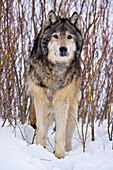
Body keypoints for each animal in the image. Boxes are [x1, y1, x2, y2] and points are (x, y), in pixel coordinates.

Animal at [26, 10, 82, 159]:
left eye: (69, 37)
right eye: (55, 36)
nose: (63, 49)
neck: (54, 70)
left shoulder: (61, 102)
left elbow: (60, 134)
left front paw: (60, 156)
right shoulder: (39, 100)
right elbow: (41, 131)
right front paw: (39, 149)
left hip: (72, 114)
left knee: (67, 136)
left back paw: (68, 151)